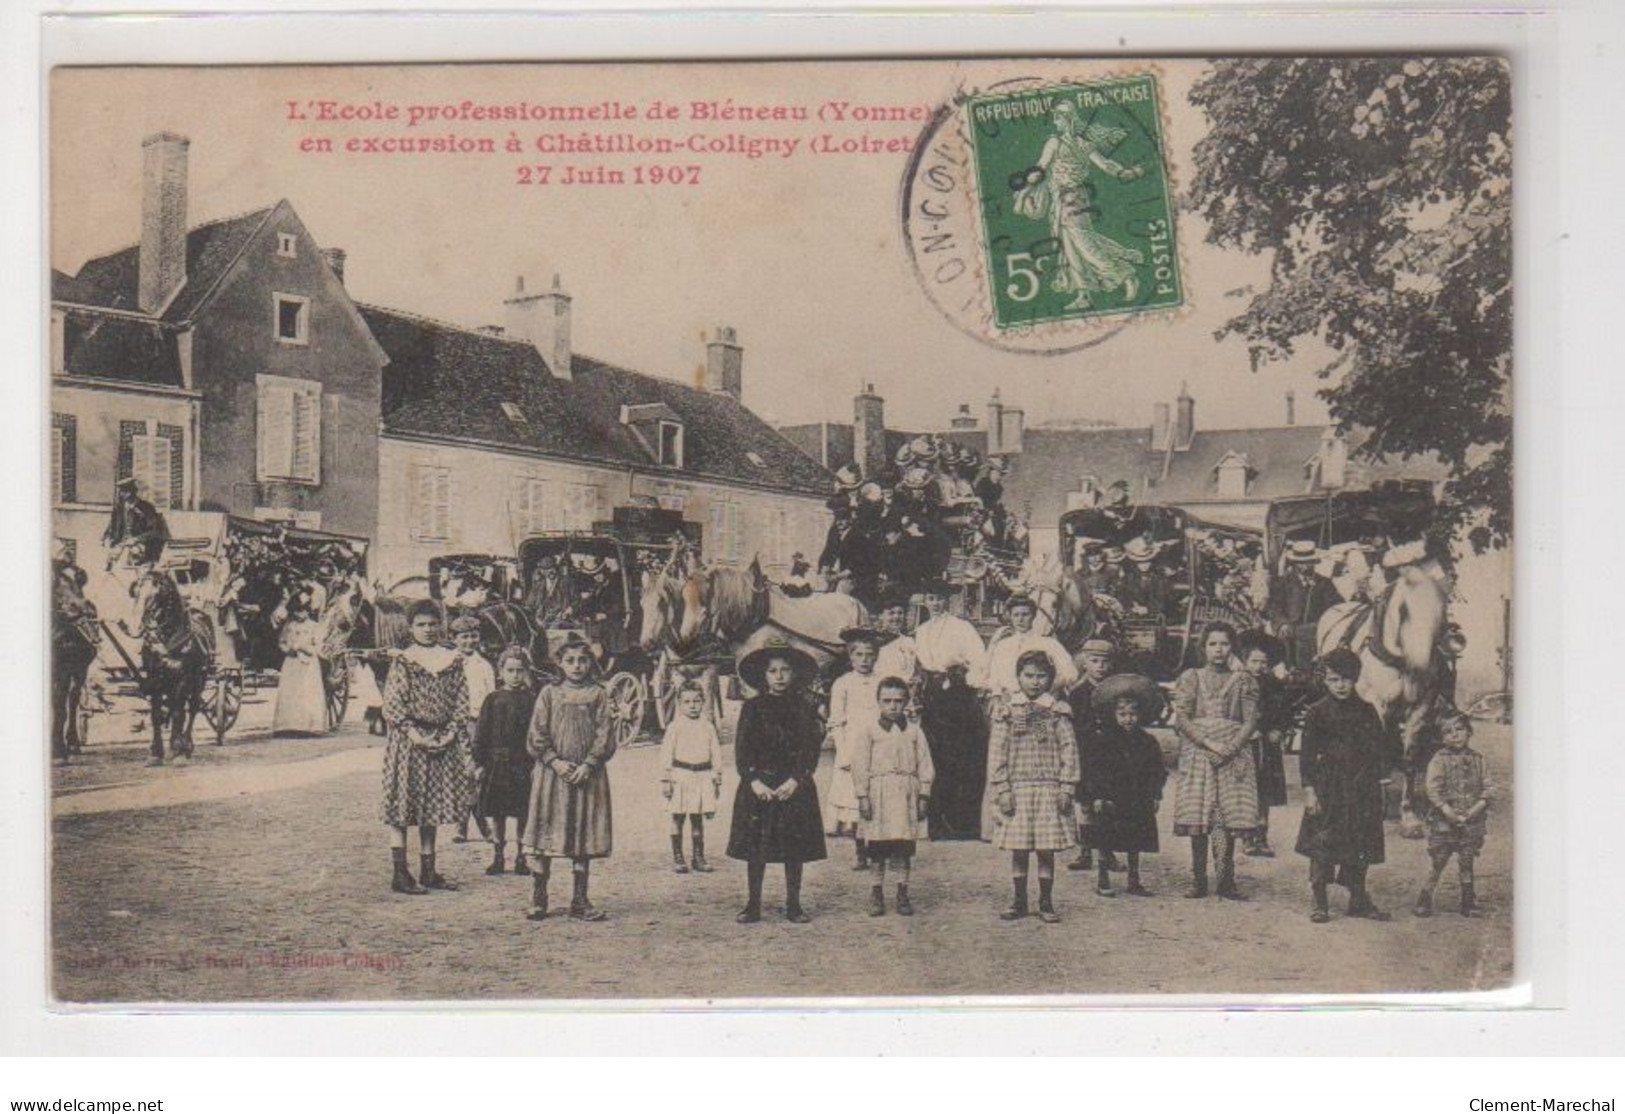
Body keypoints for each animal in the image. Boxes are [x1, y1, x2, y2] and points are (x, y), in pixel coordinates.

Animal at [125, 571, 216, 763]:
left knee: (192, 708)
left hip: (200, 679)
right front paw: (156, 751)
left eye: (157, 593)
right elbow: (156, 714)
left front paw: (175, 748)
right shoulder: (154, 679)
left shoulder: (182, 679)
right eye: (136, 591)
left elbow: (177, 713)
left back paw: (186, 745)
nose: (140, 624)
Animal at [1313, 568, 1456, 837]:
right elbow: (1376, 753)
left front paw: (1409, 817)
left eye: (1442, 609)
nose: (1421, 666)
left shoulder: (1419, 711)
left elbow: (1409, 761)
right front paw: (1376, 806)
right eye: (1404, 610)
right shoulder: (1377, 707)